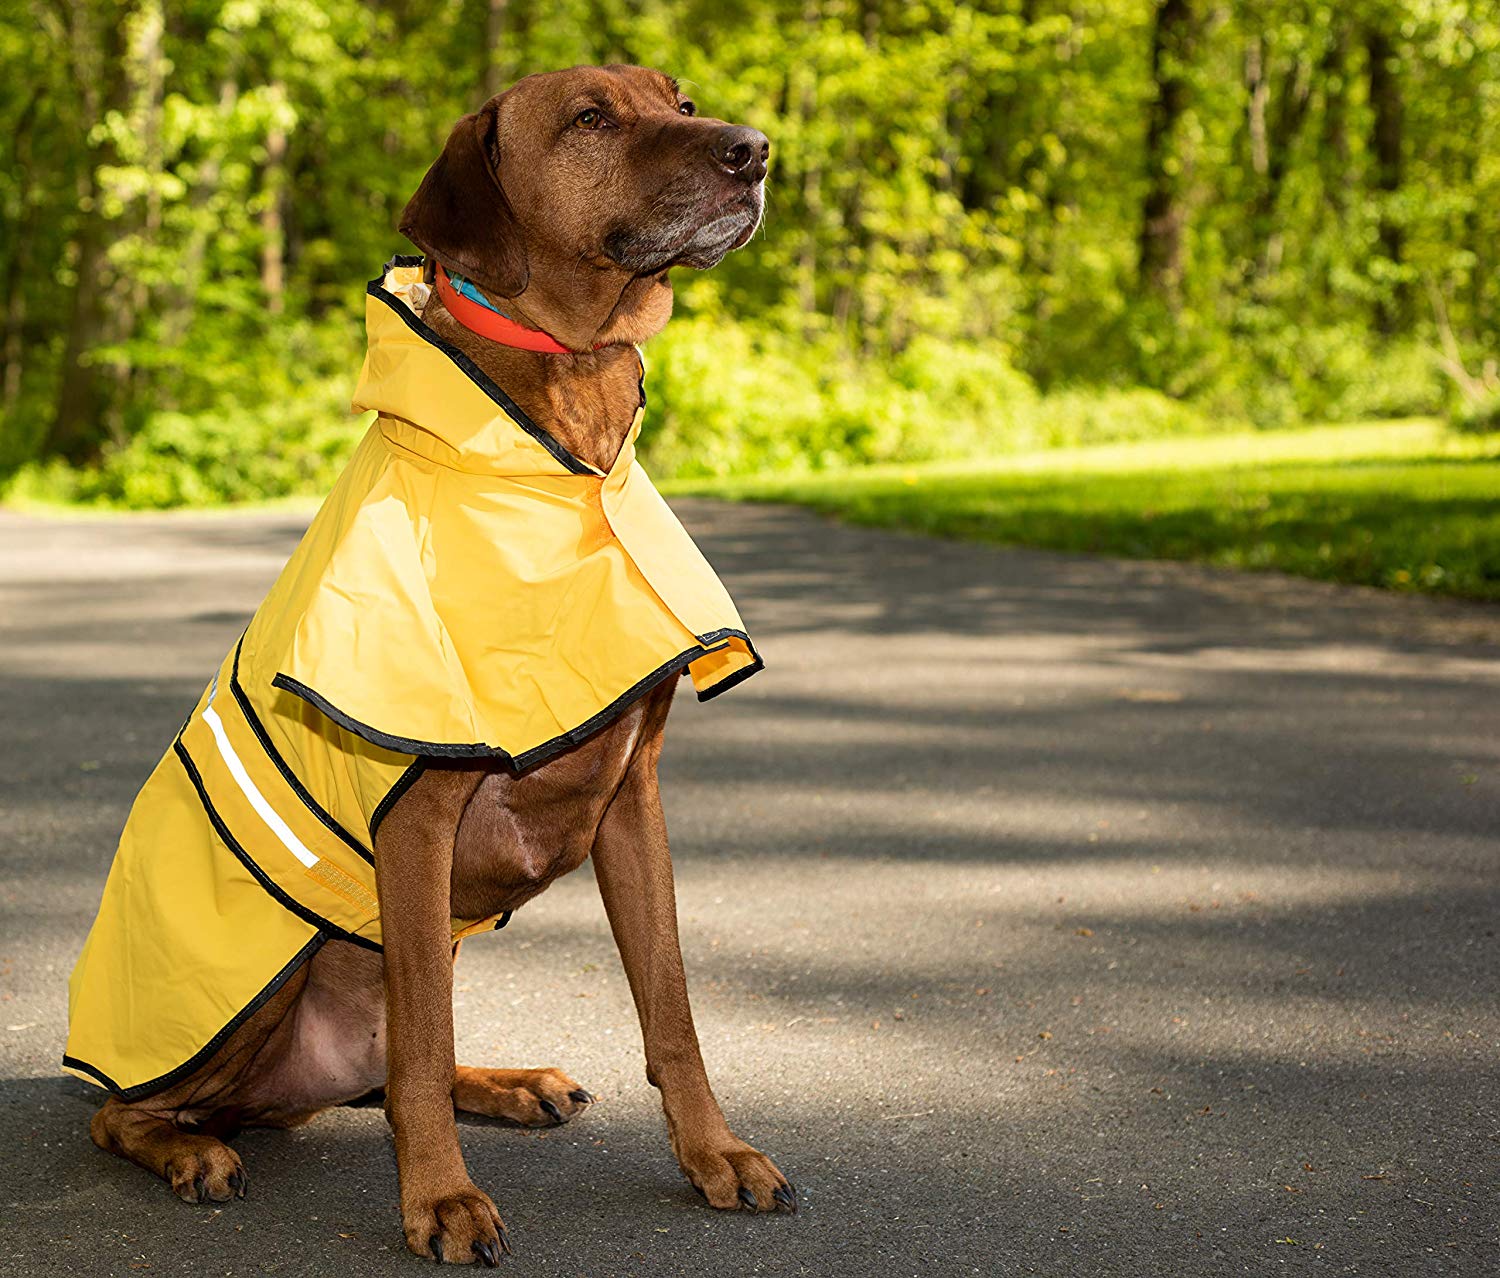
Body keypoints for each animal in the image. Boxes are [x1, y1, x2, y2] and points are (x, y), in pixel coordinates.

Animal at [86, 64, 792, 1266]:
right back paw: (190, 1150)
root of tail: (284, 1093)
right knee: (131, 1108)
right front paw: (443, 1203)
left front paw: (715, 1154)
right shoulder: (416, 820)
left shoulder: (632, 799)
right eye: (591, 117)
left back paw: (507, 1083)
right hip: (256, 988)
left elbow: (672, 1009)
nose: (752, 150)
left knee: (393, 1065)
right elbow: (417, 1053)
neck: (560, 432)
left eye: (682, 101)